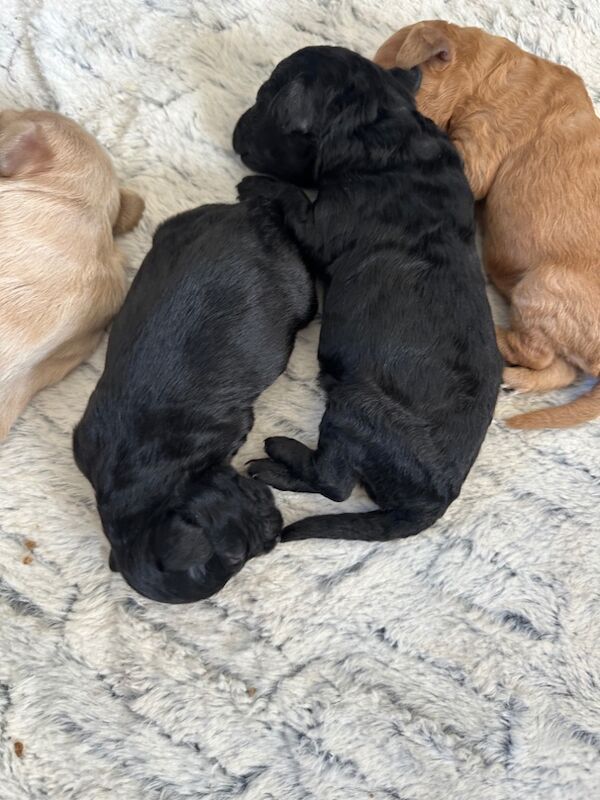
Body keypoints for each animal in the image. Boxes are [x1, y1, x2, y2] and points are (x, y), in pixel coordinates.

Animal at [234, 45, 502, 544]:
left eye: (264, 99)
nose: (236, 129)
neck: (383, 125)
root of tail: (436, 498)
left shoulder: (323, 227)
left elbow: (295, 199)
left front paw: (257, 186)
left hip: (354, 404)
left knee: (335, 483)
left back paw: (276, 456)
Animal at [376, 18, 600, 428]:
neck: (486, 68)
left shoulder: (482, 144)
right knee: (559, 369)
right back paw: (515, 379)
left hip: (542, 286)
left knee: (537, 352)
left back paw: (493, 337)